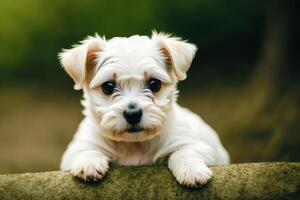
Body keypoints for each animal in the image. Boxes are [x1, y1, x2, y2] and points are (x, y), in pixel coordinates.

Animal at [58, 31, 229, 186]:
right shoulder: (77, 149)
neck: (135, 145)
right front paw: (89, 163)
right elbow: (86, 150)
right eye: (108, 86)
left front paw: (191, 170)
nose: (133, 114)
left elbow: (184, 152)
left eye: (155, 84)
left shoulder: (194, 144)